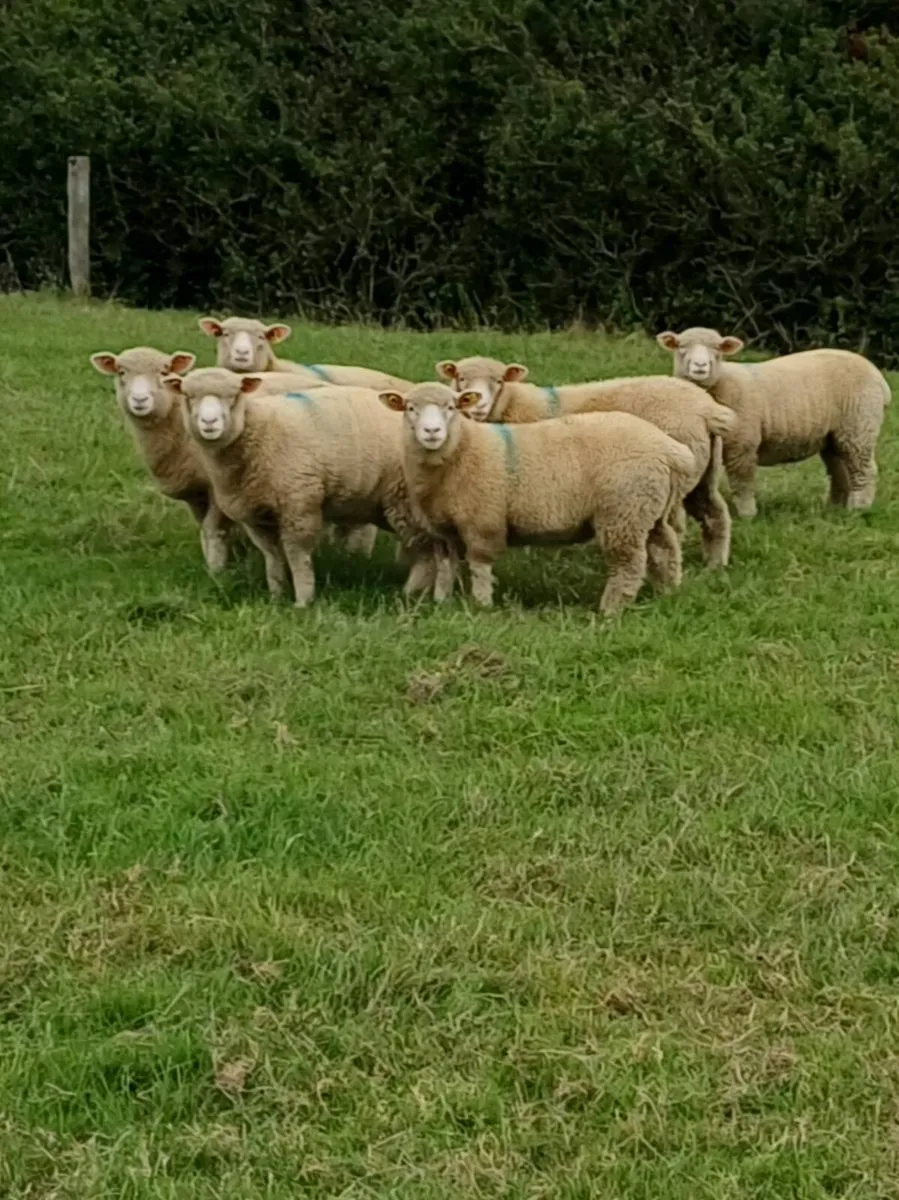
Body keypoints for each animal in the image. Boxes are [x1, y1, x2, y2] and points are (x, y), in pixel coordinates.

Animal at [89, 346, 234, 573]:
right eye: (121, 372)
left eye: (164, 371)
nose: (140, 400)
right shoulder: (196, 489)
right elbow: (203, 527)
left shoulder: (218, 487)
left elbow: (213, 529)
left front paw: (216, 571)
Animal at [167, 368, 443, 605]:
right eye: (188, 396)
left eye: (234, 396)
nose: (209, 423)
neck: (260, 430)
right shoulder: (256, 514)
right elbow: (272, 556)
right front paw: (276, 595)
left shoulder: (299, 502)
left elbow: (296, 554)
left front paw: (303, 600)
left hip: (405, 501)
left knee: (425, 554)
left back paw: (409, 595)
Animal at [380, 382, 696, 615]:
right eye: (410, 408)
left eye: (451, 408)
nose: (431, 431)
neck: (462, 449)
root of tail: (669, 449)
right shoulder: (443, 528)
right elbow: (446, 566)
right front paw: (440, 602)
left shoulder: (483, 521)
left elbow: (480, 567)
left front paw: (481, 606)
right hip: (650, 509)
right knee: (666, 548)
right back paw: (668, 592)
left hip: (623, 512)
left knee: (629, 564)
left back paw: (610, 610)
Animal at [437, 356, 737, 568]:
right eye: (460, 378)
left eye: (499, 381)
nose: (478, 406)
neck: (512, 404)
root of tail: (707, 408)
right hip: (704, 471)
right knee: (715, 513)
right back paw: (715, 564)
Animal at [656, 327, 892, 517]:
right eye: (681, 347)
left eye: (718, 349)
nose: (700, 366)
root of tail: (879, 378)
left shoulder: (742, 444)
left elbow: (742, 483)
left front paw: (747, 515)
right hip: (834, 436)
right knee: (840, 470)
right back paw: (835, 508)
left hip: (859, 426)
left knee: (864, 471)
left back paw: (858, 509)